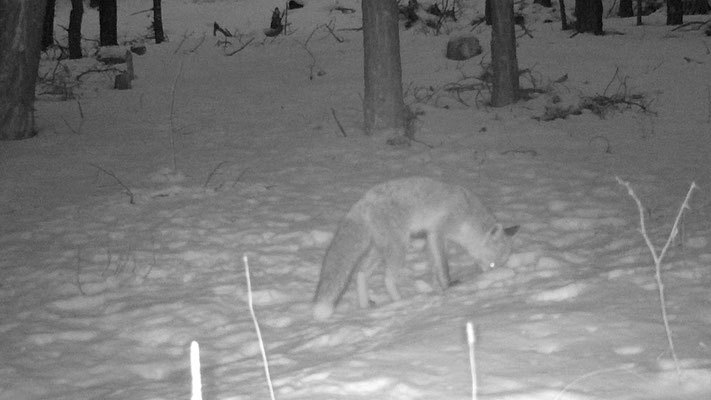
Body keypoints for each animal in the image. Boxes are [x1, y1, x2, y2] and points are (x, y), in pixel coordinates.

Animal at [312, 177, 516, 320]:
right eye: (492, 264)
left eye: (499, 264)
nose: (495, 276)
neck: (466, 215)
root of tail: (362, 203)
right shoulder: (436, 233)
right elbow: (443, 267)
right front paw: (448, 288)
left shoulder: (431, 237)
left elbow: (435, 268)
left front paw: (438, 288)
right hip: (398, 247)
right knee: (387, 279)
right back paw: (401, 303)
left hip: (379, 251)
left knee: (361, 274)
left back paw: (365, 308)